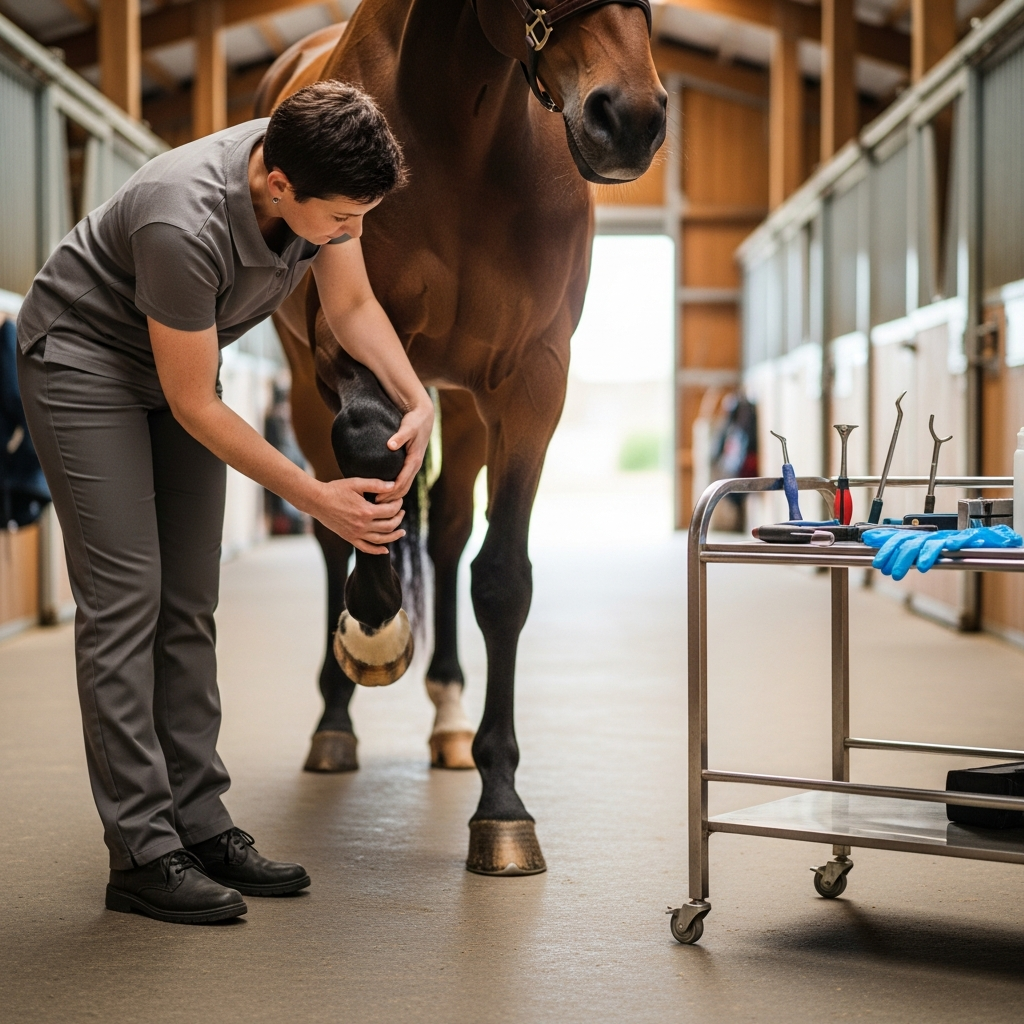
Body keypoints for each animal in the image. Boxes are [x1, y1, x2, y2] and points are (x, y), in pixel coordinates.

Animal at [254, 0, 666, 874]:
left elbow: (500, 579)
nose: (631, 119)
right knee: (336, 528)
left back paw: (447, 717)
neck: (461, 137)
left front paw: (502, 804)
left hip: (467, 409)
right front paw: (374, 632)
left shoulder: (530, 383)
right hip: (309, 389)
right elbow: (368, 464)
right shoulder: (349, 345)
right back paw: (336, 720)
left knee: (444, 532)